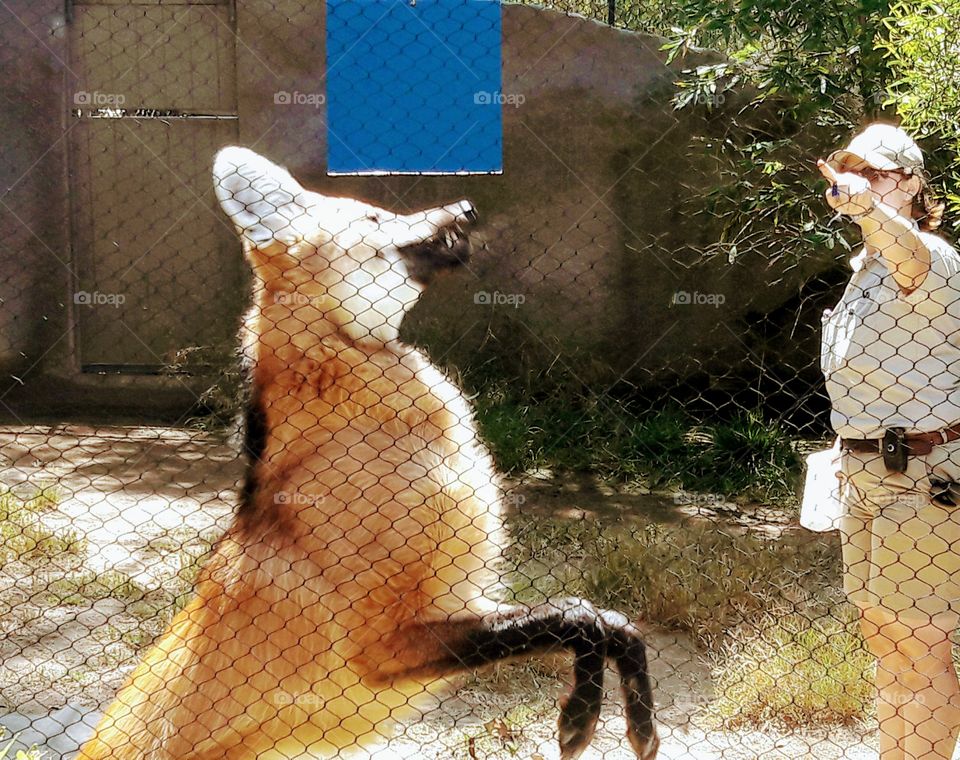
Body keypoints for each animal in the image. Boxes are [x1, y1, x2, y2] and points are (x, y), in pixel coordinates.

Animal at [75, 147, 659, 760]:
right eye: (376, 218)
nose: (468, 205)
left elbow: (613, 620)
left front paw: (636, 726)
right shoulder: (383, 646)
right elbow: (578, 616)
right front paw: (580, 715)